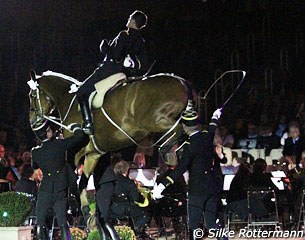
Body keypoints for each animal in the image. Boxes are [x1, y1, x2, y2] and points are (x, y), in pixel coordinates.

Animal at [27, 70, 191, 175]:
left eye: (31, 95)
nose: (31, 120)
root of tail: (181, 82)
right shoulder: (93, 154)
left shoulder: (75, 151)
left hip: (153, 121)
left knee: (178, 129)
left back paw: (169, 154)